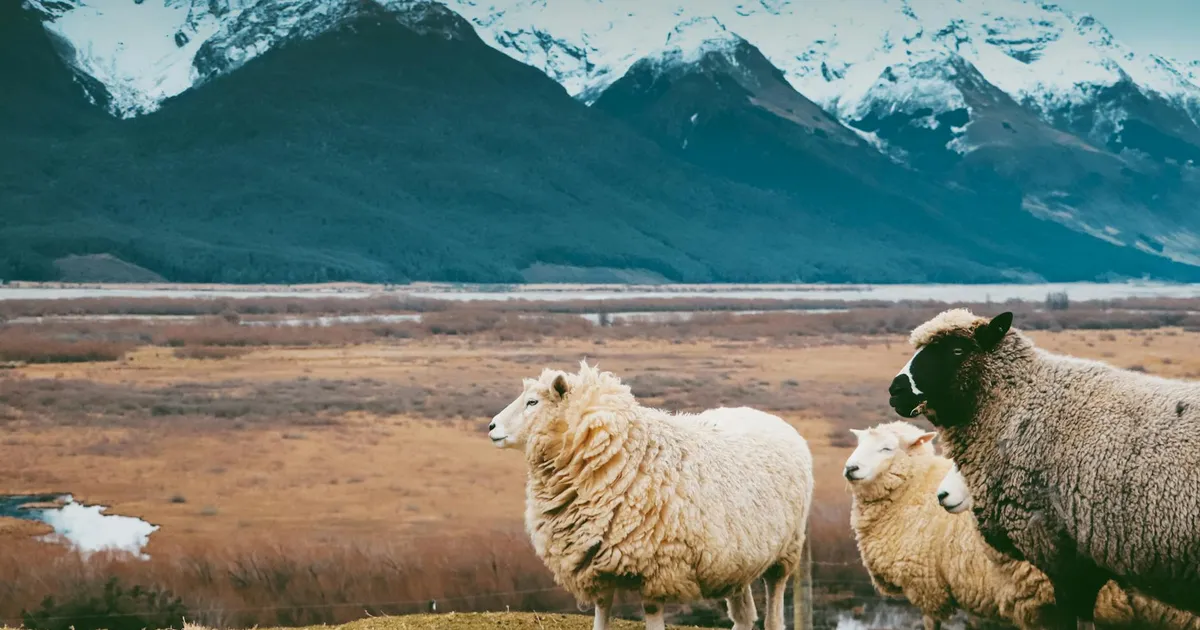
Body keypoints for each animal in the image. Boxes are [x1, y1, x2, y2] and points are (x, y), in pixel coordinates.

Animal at [487, 360, 813, 630]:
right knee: (744, 617)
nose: (491, 426)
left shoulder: (657, 567)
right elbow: (601, 611)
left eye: (532, 401)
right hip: (736, 558)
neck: (622, 454)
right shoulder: (595, 564)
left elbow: (653, 613)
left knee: (773, 606)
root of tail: (770, 417)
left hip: (786, 550)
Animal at [844, 421, 1063, 630]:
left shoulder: (925, 582)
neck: (913, 488)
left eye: (887, 448)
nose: (850, 469)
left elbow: (931, 622)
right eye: (860, 443)